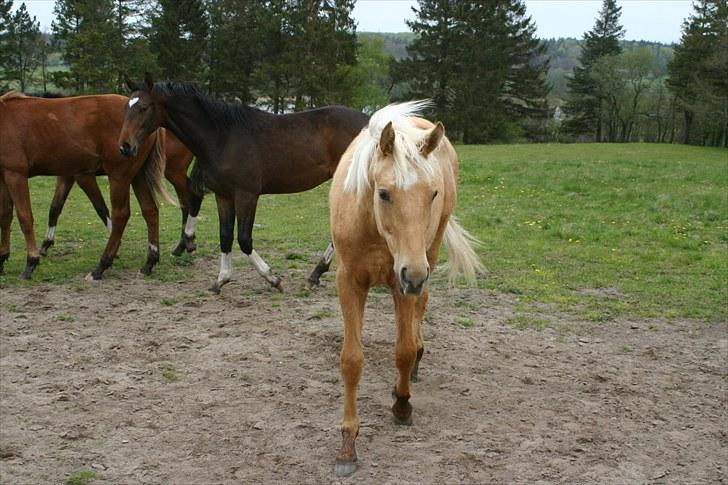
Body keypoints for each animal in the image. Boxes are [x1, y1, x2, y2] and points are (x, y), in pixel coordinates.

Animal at [0, 91, 172, 278]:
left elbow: (24, 217)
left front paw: (31, 261)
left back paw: (102, 265)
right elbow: (6, 216)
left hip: (119, 175)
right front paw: (2, 258)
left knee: (121, 215)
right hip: (137, 175)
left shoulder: (16, 174)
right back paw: (150, 261)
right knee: (150, 210)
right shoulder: (4, 177)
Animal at [36, 129, 198, 258]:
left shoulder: (84, 176)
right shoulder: (67, 175)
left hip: (174, 172)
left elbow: (101, 207)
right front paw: (46, 243)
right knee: (185, 202)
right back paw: (182, 246)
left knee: (188, 200)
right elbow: (55, 207)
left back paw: (184, 244)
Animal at [121, 73, 370, 294]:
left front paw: (273, 279)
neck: (222, 137)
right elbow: (225, 236)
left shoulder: (246, 195)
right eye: (126, 108)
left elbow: (244, 239)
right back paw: (316, 275)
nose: (125, 147)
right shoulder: (223, 196)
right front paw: (220, 280)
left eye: (144, 107)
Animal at [330, 100, 484, 474]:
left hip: (429, 253)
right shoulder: (349, 282)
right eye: (384, 193)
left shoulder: (405, 282)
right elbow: (351, 361)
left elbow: (403, 350)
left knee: (421, 309)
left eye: (432, 193)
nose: (413, 274)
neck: (372, 228)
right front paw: (347, 446)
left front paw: (401, 406)